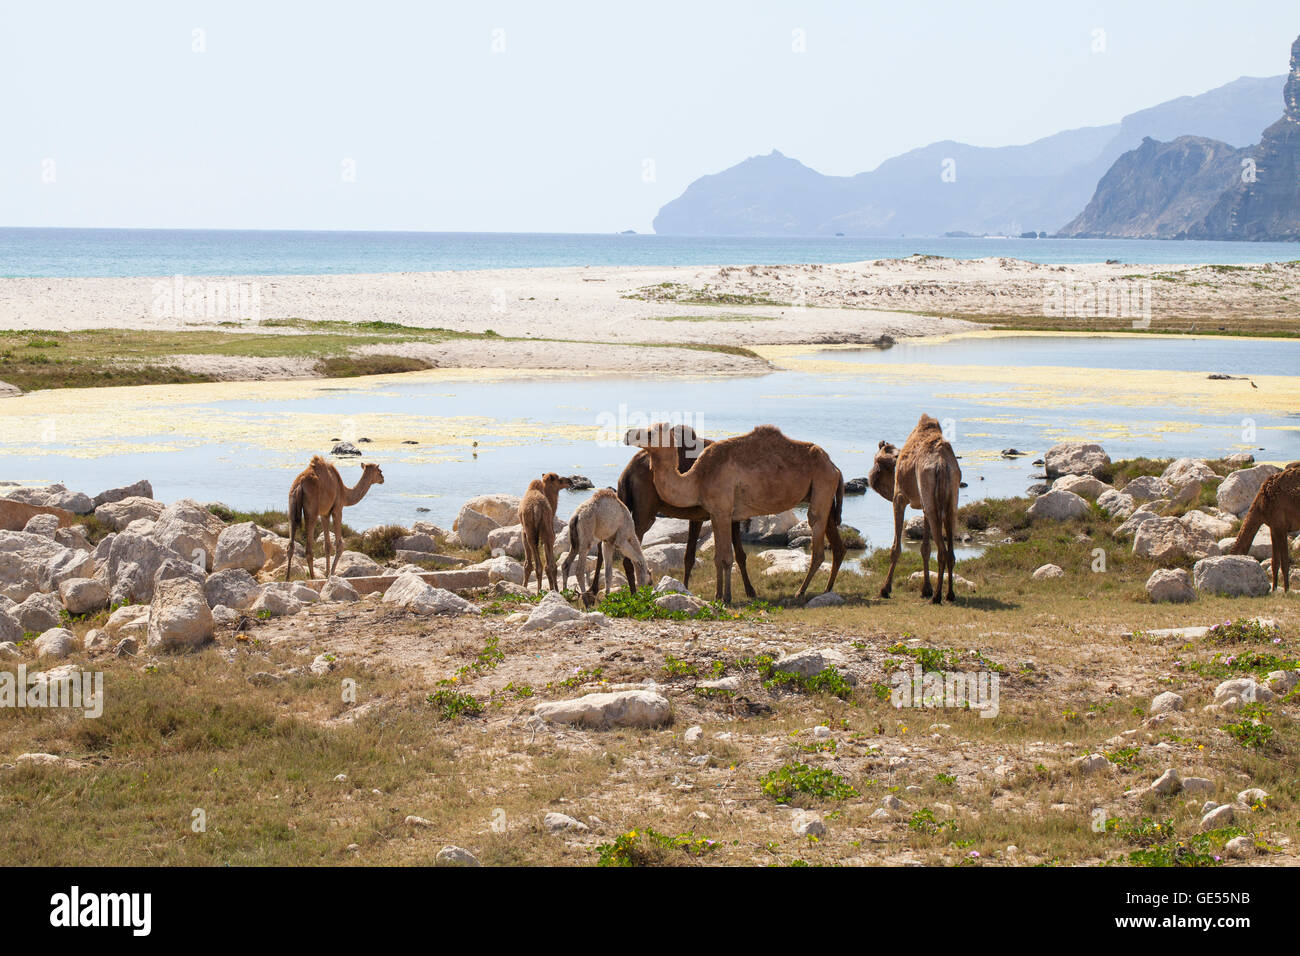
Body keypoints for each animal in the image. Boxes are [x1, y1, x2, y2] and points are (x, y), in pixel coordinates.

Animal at [587, 426, 759, 598]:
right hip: (644, 512)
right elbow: (740, 554)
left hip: (625, 501)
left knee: (606, 547)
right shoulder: (729, 513)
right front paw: (750, 590)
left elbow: (689, 556)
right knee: (629, 557)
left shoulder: (698, 516)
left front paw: (685, 589)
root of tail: (626, 473)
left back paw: (595, 590)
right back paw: (634, 594)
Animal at [624, 421, 847, 600]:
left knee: (817, 544)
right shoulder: (716, 513)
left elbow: (727, 557)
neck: (697, 478)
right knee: (834, 546)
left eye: (650, 433)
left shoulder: (723, 511)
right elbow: (719, 557)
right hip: (823, 493)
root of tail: (835, 467)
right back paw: (826, 590)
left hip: (822, 485)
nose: (627, 434)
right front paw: (718, 595)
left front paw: (727, 597)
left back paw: (801, 592)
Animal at [868, 411, 961, 606]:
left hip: (930, 498)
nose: (872, 475)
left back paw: (937, 596)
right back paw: (949, 594)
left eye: (878, 456)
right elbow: (925, 549)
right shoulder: (924, 505)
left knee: (942, 550)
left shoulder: (899, 498)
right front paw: (926, 589)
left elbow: (896, 548)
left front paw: (885, 589)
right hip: (950, 501)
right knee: (950, 551)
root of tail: (942, 465)